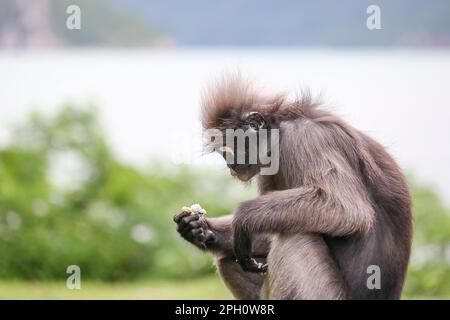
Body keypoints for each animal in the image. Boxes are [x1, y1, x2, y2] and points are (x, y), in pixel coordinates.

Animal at [173, 75, 412, 300]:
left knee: (294, 237)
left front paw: (241, 219)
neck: (280, 128)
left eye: (230, 148)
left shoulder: (307, 136)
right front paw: (199, 228)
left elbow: (349, 210)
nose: (230, 165)